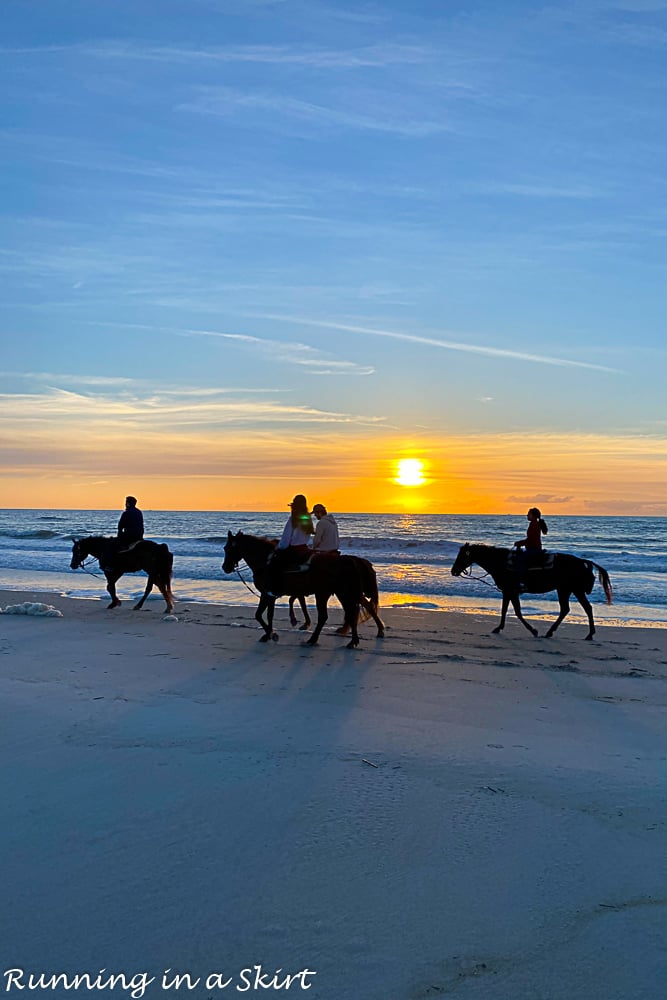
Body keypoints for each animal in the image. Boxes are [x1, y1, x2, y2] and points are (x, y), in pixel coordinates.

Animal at [222, 532, 384, 648]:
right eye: (225, 548)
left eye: (229, 548)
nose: (225, 568)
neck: (265, 562)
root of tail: (351, 560)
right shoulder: (269, 595)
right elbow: (267, 614)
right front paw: (268, 634)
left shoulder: (267, 594)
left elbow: (261, 615)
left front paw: (271, 634)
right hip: (341, 593)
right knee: (355, 611)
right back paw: (356, 638)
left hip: (335, 594)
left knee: (338, 614)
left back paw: (317, 639)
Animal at [452, 548, 612, 640]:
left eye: (462, 555)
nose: (453, 571)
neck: (501, 562)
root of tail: (582, 562)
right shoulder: (508, 591)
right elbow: (505, 610)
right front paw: (499, 628)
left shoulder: (510, 591)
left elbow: (516, 611)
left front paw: (533, 630)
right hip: (565, 589)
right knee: (569, 609)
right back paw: (553, 632)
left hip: (573, 590)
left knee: (583, 608)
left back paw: (588, 634)